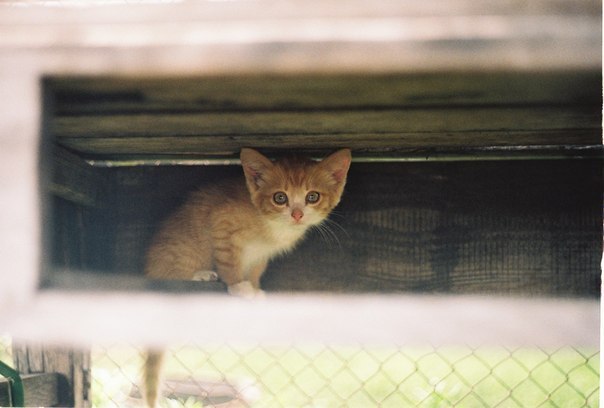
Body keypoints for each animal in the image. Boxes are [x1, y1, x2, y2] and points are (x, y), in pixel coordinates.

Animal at [143, 147, 350, 408]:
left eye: (312, 197)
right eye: (280, 198)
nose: (297, 214)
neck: (273, 226)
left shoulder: (262, 254)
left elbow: (256, 269)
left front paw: (254, 287)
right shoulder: (222, 223)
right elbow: (229, 261)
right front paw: (237, 285)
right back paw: (200, 275)